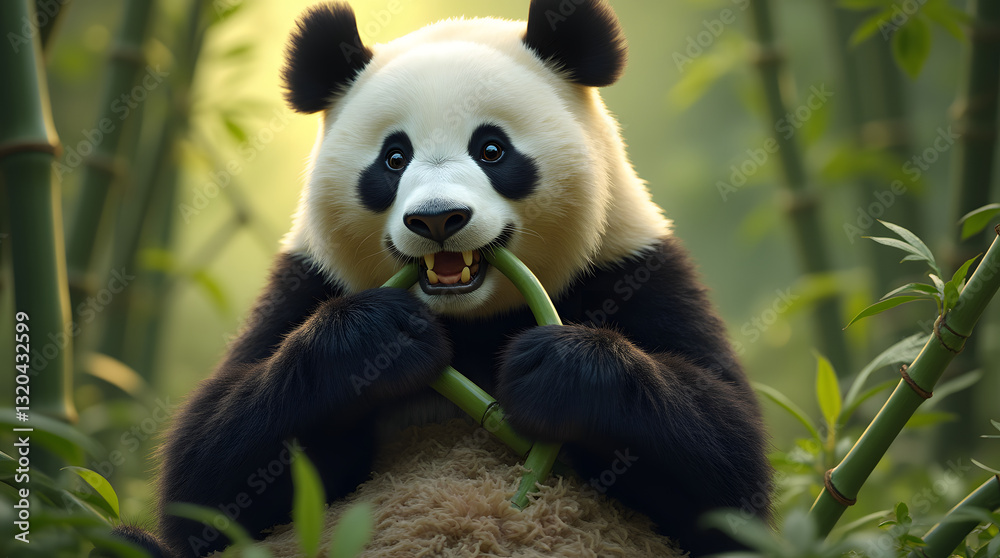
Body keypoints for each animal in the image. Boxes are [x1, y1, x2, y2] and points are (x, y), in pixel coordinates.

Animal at [135, 1, 773, 556]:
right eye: (393, 158)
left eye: (491, 149)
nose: (438, 218)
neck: (472, 322)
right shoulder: (305, 281)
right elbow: (209, 479)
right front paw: (379, 341)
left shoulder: (633, 267)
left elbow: (730, 469)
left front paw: (556, 368)